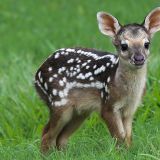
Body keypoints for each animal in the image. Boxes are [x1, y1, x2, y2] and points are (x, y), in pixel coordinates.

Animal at [34, 7, 160, 152]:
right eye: (123, 46)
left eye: (147, 44)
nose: (139, 59)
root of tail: (36, 76)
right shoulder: (108, 105)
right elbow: (119, 136)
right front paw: (120, 153)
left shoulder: (130, 108)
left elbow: (128, 136)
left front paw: (130, 151)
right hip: (58, 102)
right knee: (46, 134)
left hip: (79, 111)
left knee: (60, 138)